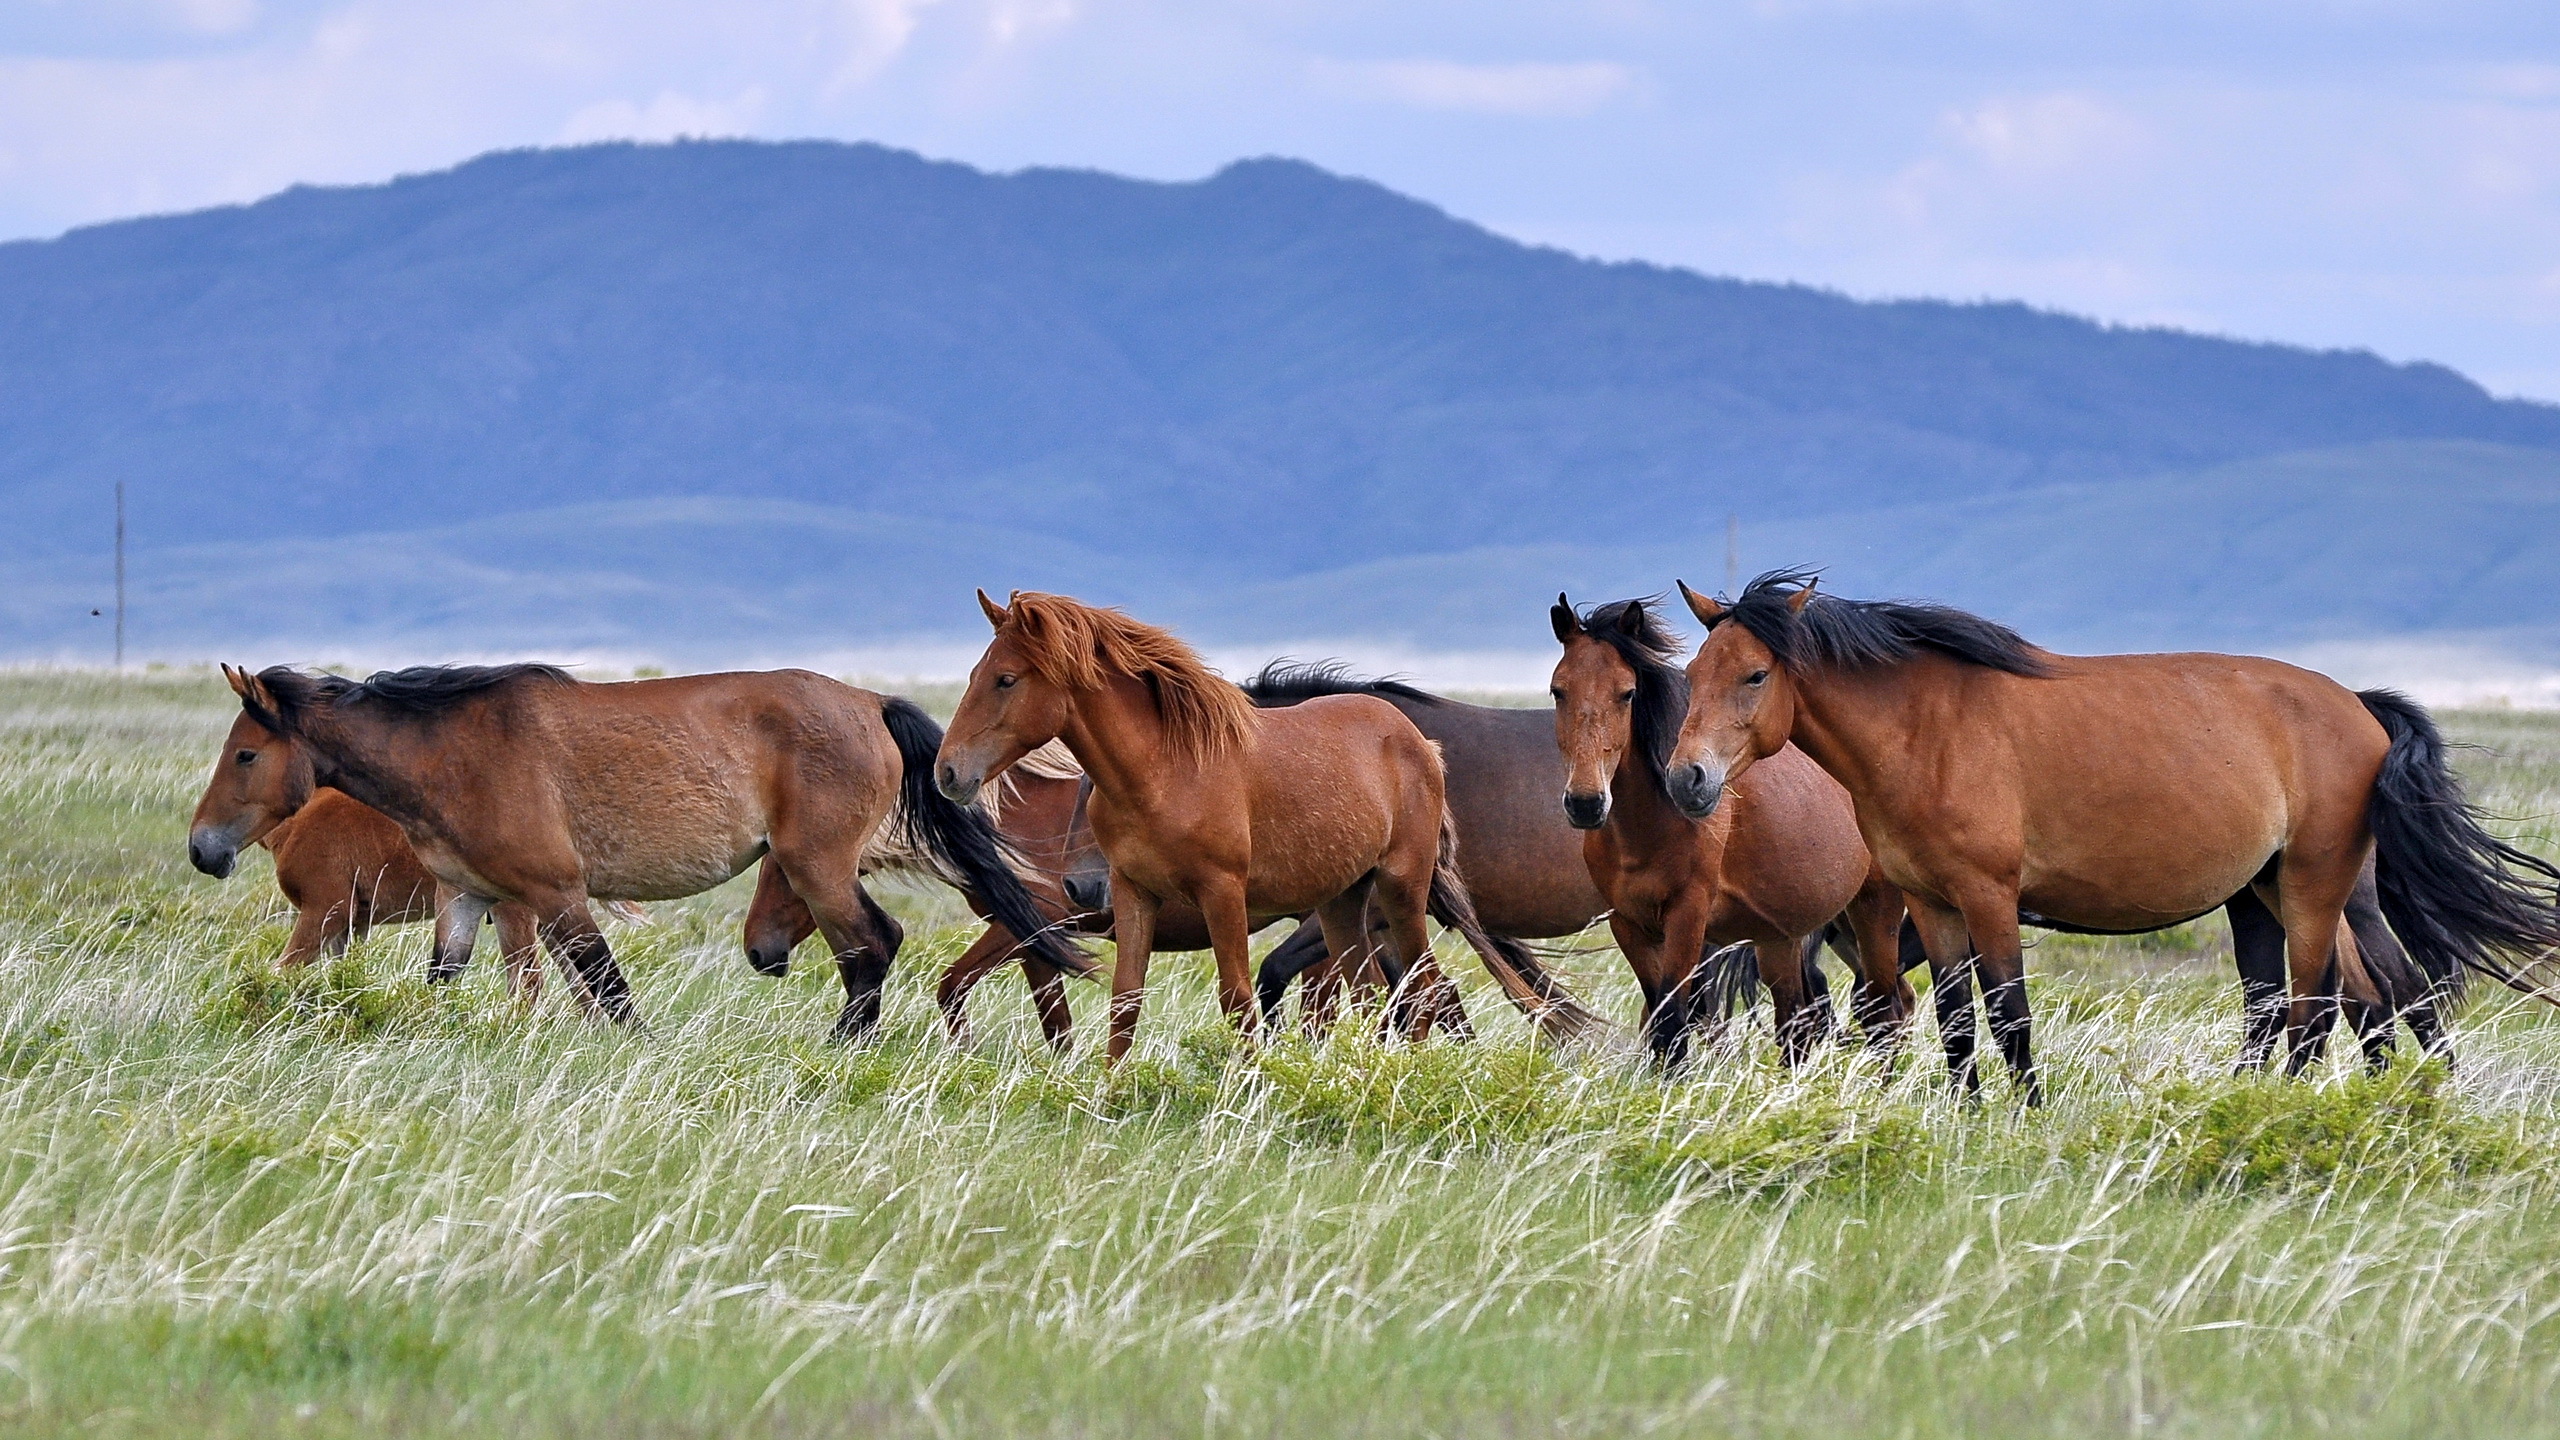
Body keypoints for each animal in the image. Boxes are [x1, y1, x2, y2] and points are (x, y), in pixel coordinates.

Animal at [209, 661, 1070, 1030]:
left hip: (817, 866)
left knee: (871, 945)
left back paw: (843, 1047)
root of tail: (868, 701)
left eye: (245, 753)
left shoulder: (555, 894)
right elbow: (446, 980)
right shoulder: (471, 898)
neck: (451, 750)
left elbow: (609, 994)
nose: (203, 849)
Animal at [921, 589, 1597, 1060]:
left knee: (1423, 991)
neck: (1170, 772)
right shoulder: (1131, 896)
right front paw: (1107, 1093)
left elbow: (1238, 999)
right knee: (1374, 994)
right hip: (1343, 904)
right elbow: (1123, 1000)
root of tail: (1417, 741)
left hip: (1400, 893)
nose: (949, 771)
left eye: (1006, 679)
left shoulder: (1222, 894)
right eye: (976, 675)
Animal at [1546, 594, 1914, 1065]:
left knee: (1885, 1009)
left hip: (1873, 910)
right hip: (1791, 935)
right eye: (1558, 690)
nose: (1586, 802)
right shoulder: (1628, 924)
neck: (1646, 831)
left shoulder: (1687, 918)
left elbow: (1671, 1022)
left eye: (1627, 693)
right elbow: (1657, 1014)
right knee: (1802, 1019)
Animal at [1658, 566, 2560, 1091]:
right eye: (1694, 673)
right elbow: (1954, 1023)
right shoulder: (1933, 906)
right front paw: (1963, 1116)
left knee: (2318, 1007)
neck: (1927, 730)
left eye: (1755, 674)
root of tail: (2359, 706)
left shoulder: (1988, 898)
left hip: (2313, 886)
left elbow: (2009, 1014)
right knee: (2367, 998)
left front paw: (2022, 1120)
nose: (1685, 779)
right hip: (2290, 889)